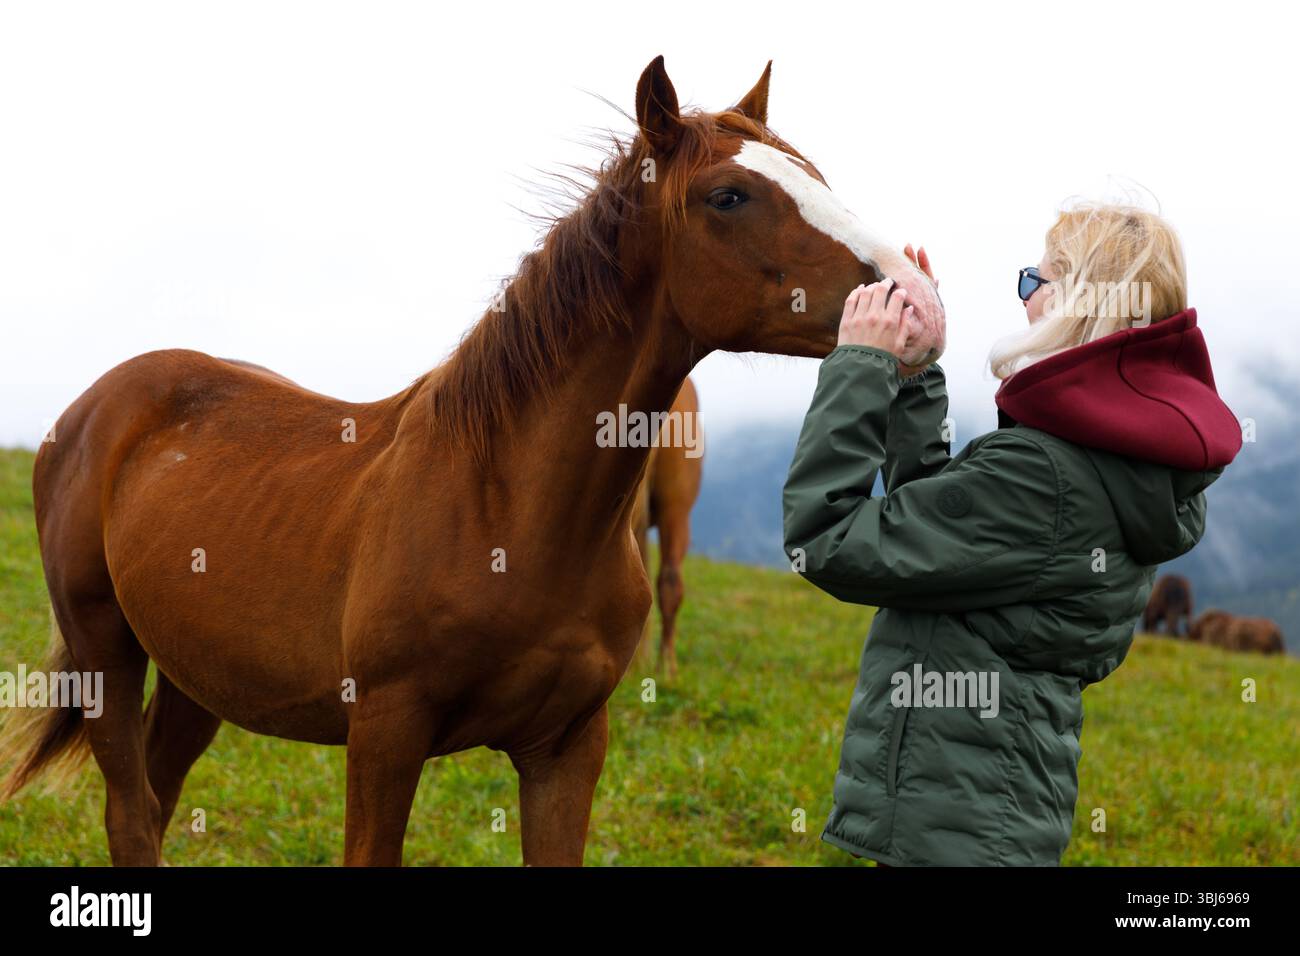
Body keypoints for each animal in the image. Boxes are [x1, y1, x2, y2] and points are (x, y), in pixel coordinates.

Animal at [0, 55, 945, 866]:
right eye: (728, 195)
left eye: (816, 176)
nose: (919, 302)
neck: (506, 507)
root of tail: (95, 408)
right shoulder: (384, 735)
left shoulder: (569, 746)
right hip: (104, 651)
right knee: (131, 814)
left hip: (197, 678)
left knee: (156, 801)